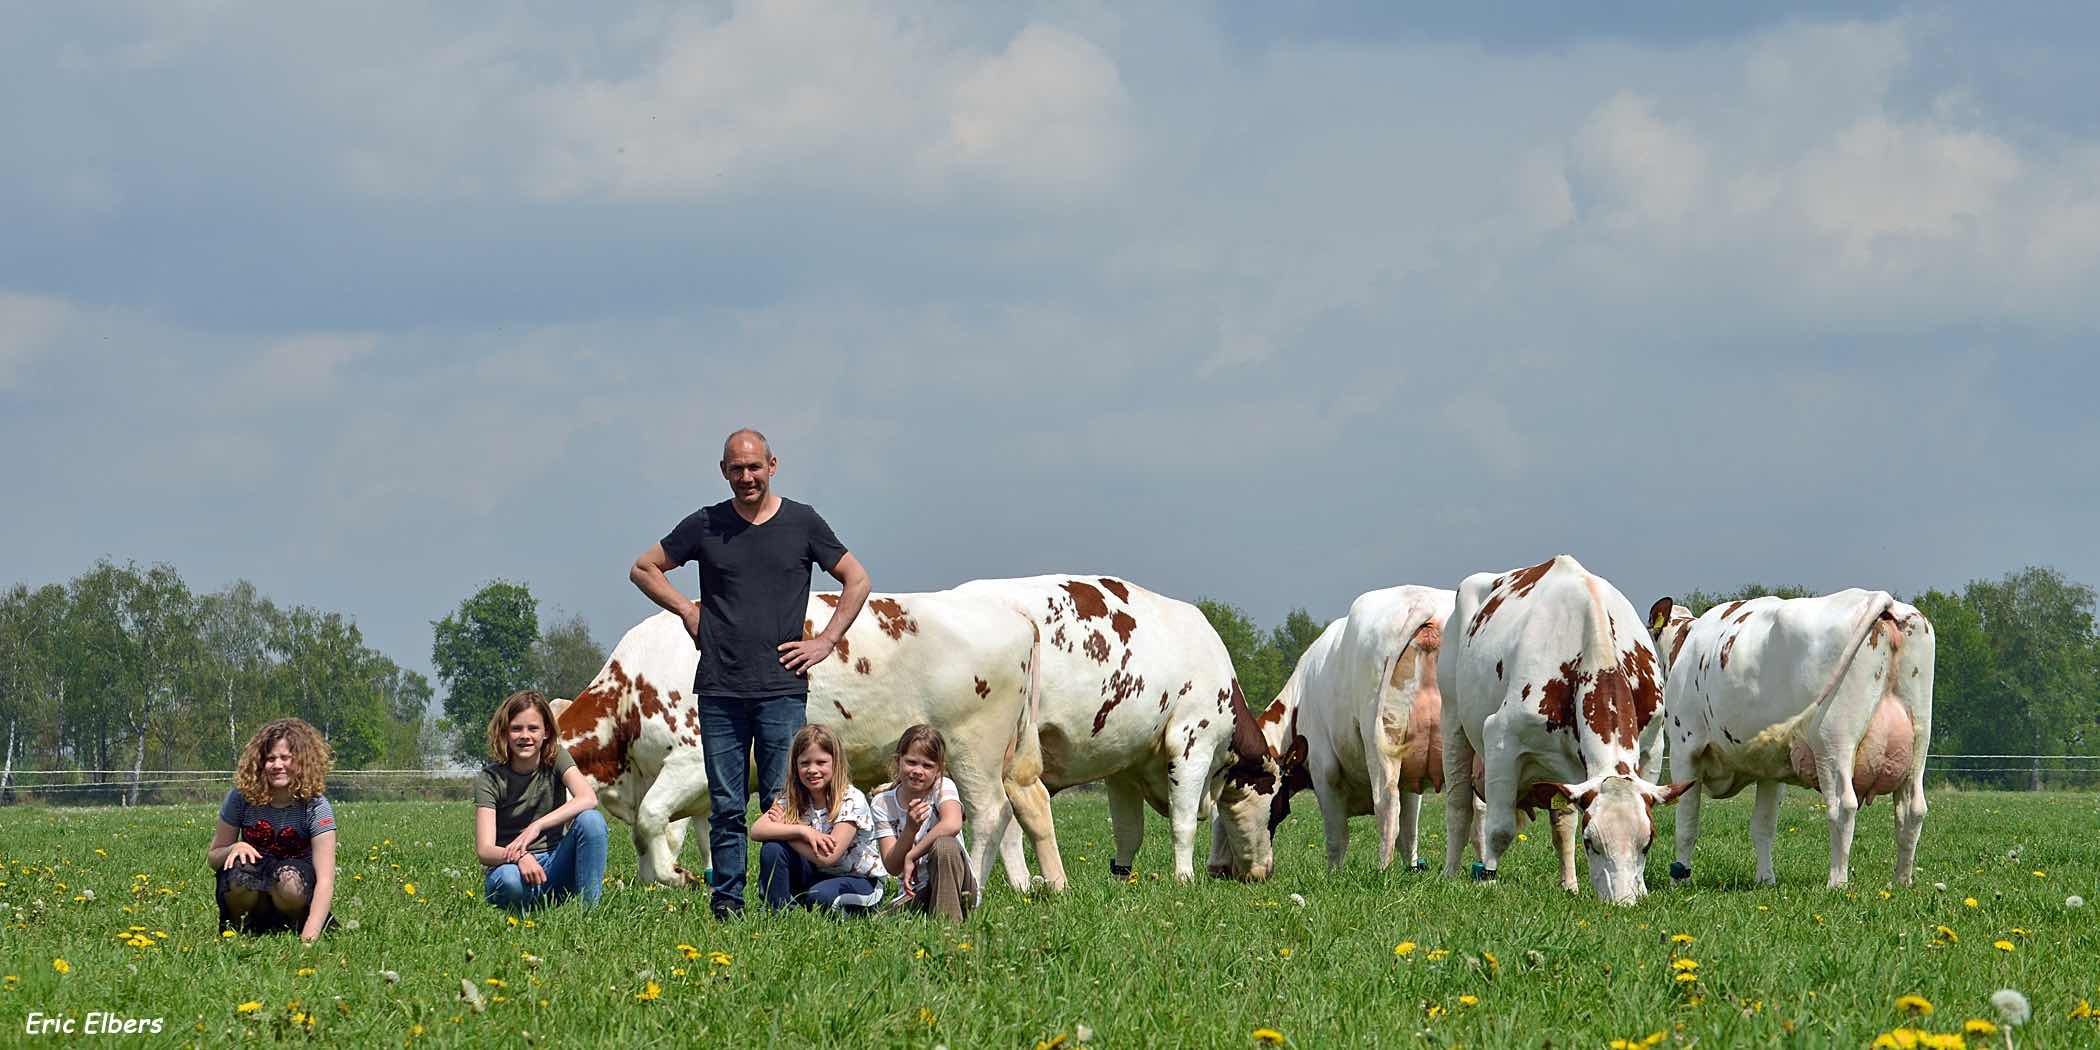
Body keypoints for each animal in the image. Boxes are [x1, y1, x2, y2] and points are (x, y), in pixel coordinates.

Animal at [554, 592, 1066, 894]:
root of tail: (1013, 613)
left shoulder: (691, 761)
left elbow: (650, 819)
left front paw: (671, 876)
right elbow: (693, 832)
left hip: (971, 746)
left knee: (989, 814)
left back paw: (973, 882)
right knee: (1020, 808)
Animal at [957, 579, 1276, 881]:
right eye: (1277, 811)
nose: (1266, 872)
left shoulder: (1123, 766)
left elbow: (1128, 832)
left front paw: (1122, 877)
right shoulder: (1192, 742)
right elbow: (1182, 823)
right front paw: (1184, 878)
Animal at [1243, 588, 1461, 873]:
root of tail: (1423, 601)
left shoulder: (1324, 768)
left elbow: (1337, 837)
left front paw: (1333, 875)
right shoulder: (1410, 777)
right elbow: (1410, 835)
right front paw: (1412, 871)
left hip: (1381, 741)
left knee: (1386, 808)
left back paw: (1383, 871)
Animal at [1444, 554, 1688, 907]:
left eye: (1648, 842)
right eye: (1591, 842)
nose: (1623, 903)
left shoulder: (1652, 747)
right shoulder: (1502, 738)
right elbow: (1500, 829)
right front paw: (1488, 881)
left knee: (1562, 823)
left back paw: (1569, 884)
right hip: (1452, 718)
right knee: (1458, 804)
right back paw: (1450, 872)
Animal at [1637, 592, 1931, 886]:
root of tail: (1876, 597)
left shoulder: (1685, 750)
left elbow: (1686, 822)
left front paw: (1680, 879)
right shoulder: (1770, 767)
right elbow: (1763, 825)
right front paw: (1765, 880)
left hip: (1833, 742)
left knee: (1843, 806)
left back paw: (1837, 882)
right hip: (1918, 740)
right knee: (1912, 809)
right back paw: (1901, 882)